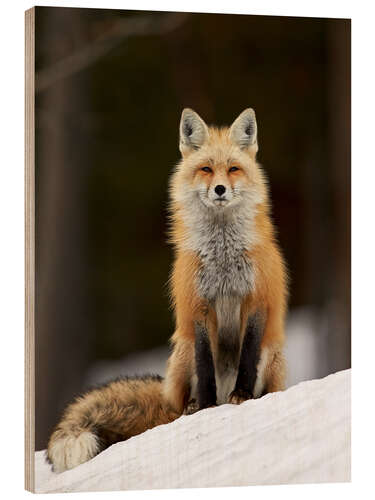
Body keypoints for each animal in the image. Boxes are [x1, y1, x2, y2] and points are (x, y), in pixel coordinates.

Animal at [47, 108, 288, 472]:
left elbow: (247, 354)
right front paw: (206, 408)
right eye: (206, 169)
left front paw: (243, 397)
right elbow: (205, 366)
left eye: (233, 169)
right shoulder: (197, 307)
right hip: (181, 352)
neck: (223, 256)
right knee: (182, 398)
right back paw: (192, 407)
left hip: (271, 355)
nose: (220, 189)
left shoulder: (256, 300)